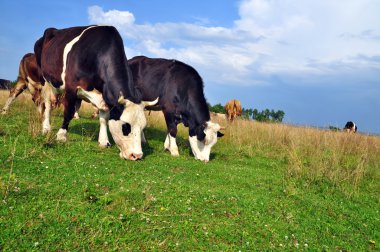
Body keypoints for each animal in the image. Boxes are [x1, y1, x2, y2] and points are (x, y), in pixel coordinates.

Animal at [33, 25, 157, 159]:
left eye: (143, 127)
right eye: (125, 126)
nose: (137, 155)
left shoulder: (103, 95)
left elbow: (104, 118)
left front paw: (103, 141)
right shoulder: (71, 88)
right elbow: (69, 112)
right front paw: (61, 136)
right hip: (45, 81)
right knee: (48, 104)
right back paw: (46, 127)